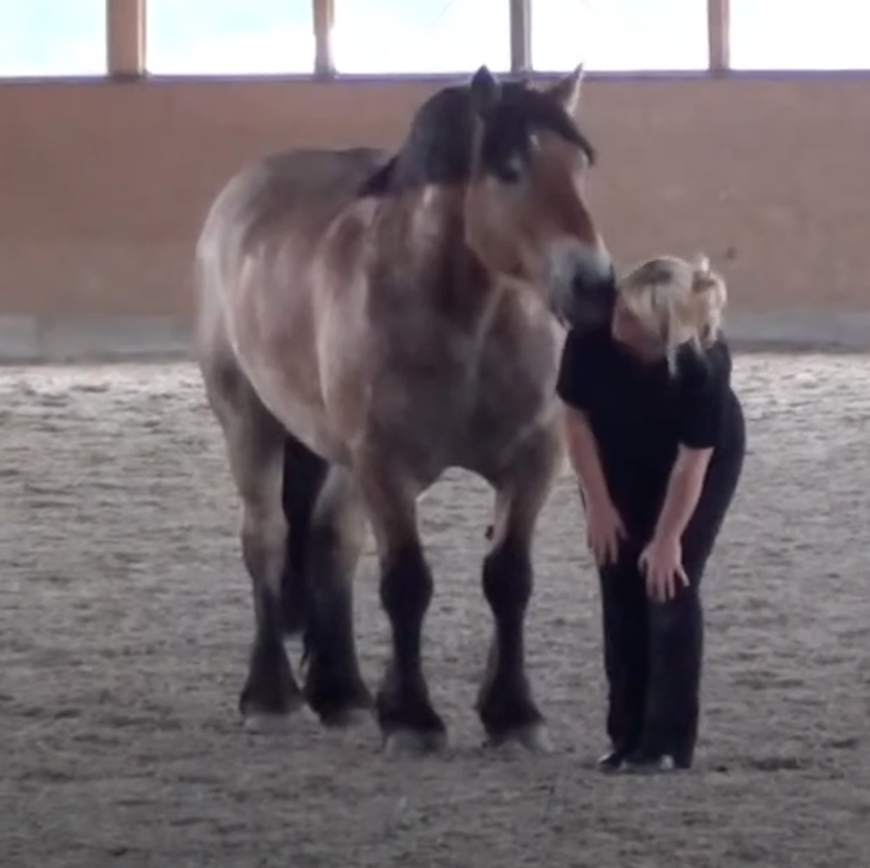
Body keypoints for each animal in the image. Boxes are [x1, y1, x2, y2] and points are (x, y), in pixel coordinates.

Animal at [193, 63, 615, 757]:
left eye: (582, 165)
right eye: (509, 170)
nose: (595, 286)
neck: (466, 322)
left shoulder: (532, 463)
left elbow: (509, 579)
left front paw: (513, 715)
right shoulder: (387, 468)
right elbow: (407, 584)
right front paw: (415, 719)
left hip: (338, 458)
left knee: (331, 544)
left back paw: (343, 693)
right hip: (249, 422)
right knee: (267, 540)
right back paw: (272, 697)